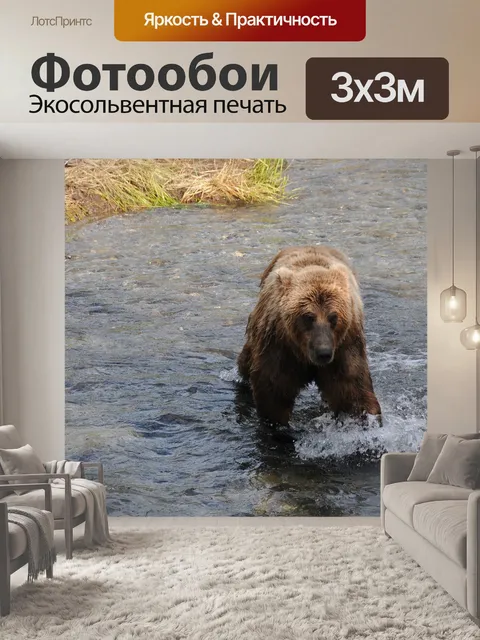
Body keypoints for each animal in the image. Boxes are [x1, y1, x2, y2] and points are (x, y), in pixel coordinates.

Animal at [237, 246, 381, 426]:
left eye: (333, 317)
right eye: (308, 317)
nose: (323, 353)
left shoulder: (345, 345)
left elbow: (352, 389)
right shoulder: (280, 346)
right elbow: (274, 391)